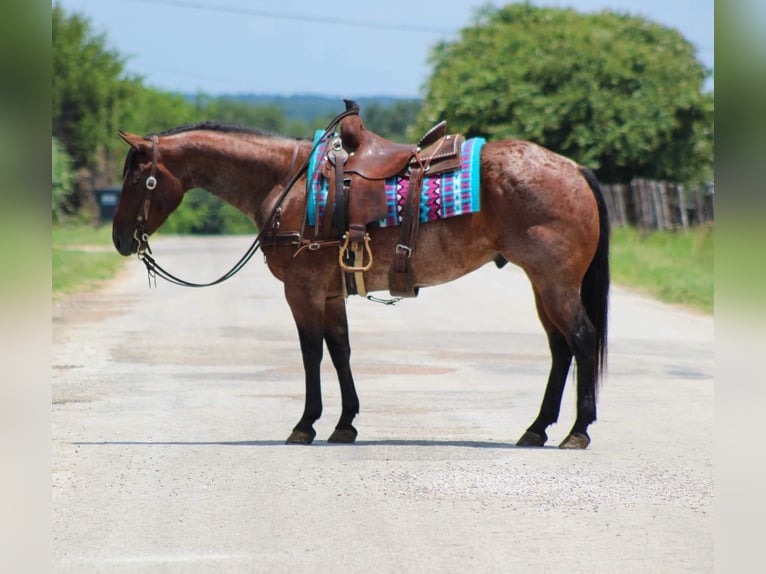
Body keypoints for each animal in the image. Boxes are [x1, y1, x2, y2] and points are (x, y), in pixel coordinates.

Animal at [111, 115, 612, 452]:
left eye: (137, 178)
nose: (119, 238)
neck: (288, 184)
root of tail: (574, 169)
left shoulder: (303, 291)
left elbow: (311, 354)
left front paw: (306, 424)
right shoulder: (332, 293)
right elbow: (340, 350)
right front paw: (345, 424)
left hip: (555, 283)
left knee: (582, 340)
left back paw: (577, 431)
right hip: (542, 285)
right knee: (561, 349)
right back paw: (537, 428)